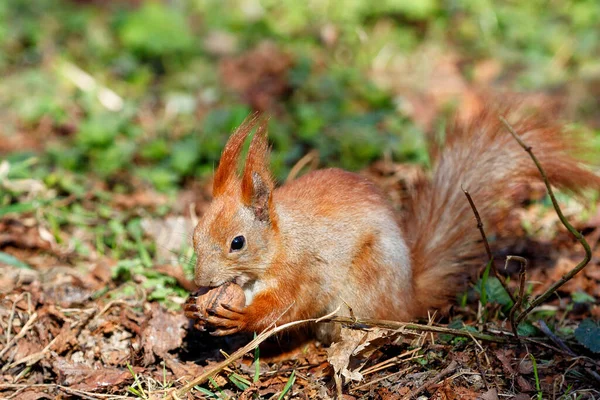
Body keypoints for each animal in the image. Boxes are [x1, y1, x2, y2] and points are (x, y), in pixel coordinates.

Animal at [185, 108, 596, 340]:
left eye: (237, 243)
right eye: (194, 235)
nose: (202, 280)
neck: (281, 243)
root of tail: (407, 297)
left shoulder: (304, 271)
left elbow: (288, 306)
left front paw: (243, 317)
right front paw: (192, 308)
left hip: (365, 288)